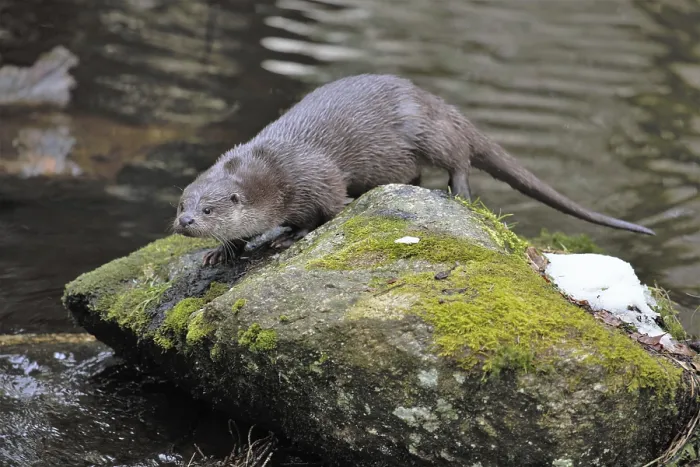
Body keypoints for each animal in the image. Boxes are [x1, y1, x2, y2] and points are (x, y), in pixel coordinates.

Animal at [173, 74, 655, 266]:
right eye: (182, 204)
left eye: (210, 209)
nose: (185, 222)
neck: (271, 169)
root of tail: (436, 102)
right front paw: (222, 252)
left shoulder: (315, 178)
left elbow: (325, 211)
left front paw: (288, 236)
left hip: (429, 133)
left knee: (459, 159)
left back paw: (458, 192)